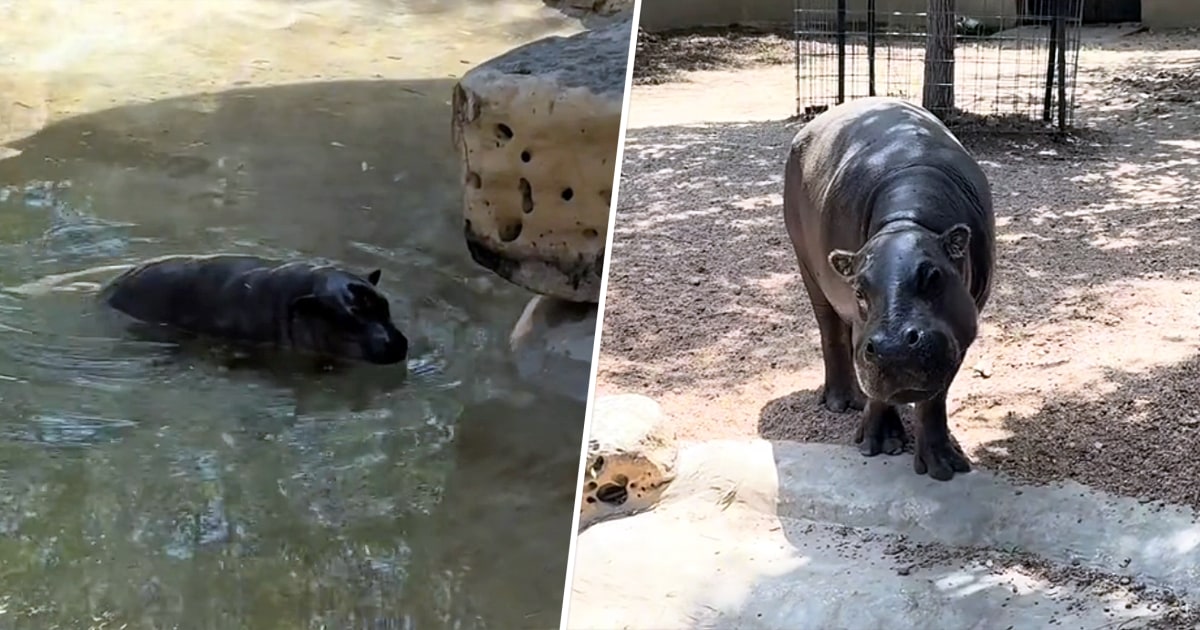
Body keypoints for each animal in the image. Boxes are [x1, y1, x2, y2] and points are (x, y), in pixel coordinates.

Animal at [782, 97, 995, 481]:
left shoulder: (959, 330)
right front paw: (879, 444)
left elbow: (934, 397)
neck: (907, 223)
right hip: (808, 268)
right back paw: (842, 403)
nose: (894, 347)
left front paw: (946, 466)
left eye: (934, 276)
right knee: (831, 332)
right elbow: (872, 376)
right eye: (859, 291)